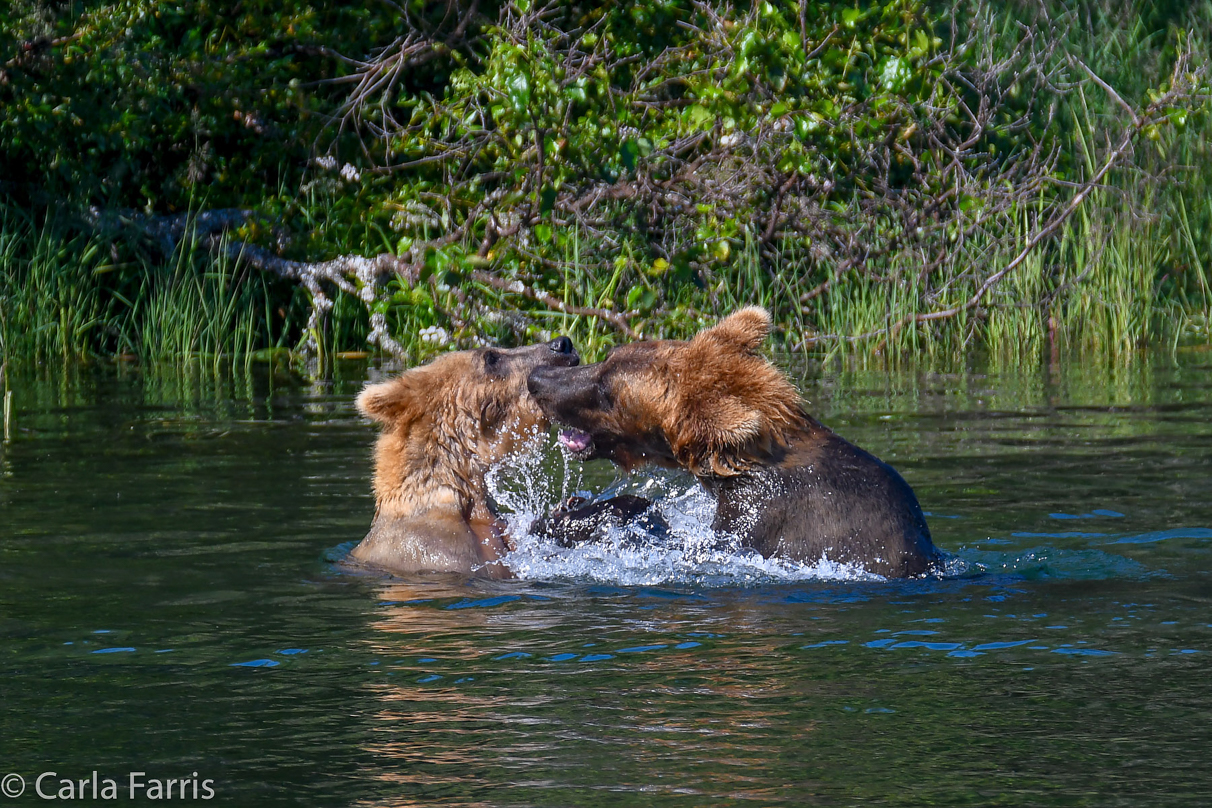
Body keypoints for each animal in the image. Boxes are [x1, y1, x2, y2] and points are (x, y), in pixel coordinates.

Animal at [528, 306, 935, 579]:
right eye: (607, 358)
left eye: (607, 393)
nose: (537, 379)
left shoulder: (775, 524)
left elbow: (688, 548)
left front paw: (574, 515)